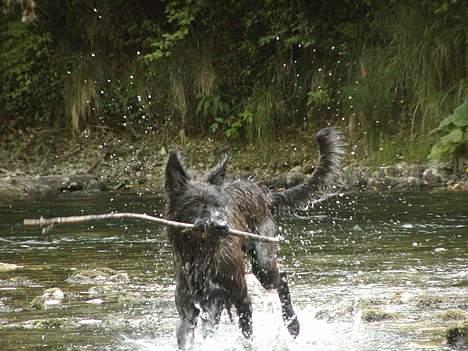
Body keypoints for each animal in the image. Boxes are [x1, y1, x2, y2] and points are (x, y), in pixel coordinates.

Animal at [165, 127, 344, 350]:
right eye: (196, 204)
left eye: (218, 205)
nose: (222, 226)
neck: (202, 257)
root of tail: (264, 195)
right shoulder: (188, 312)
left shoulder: (242, 298)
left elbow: (247, 337)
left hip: (263, 263)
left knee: (282, 278)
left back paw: (292, 324)